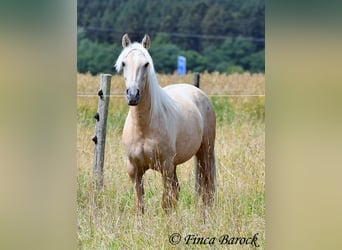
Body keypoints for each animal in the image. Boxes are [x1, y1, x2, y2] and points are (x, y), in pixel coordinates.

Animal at [115, 33, 216, 213]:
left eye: (146, 64)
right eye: (124, 63)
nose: (133, 95)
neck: (143, 127)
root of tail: (199, 93)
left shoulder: (165, 167)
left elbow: (166, 203)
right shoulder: (134, 170)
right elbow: (140, 205)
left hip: (205, 152)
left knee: (207, 188)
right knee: (178, 190)